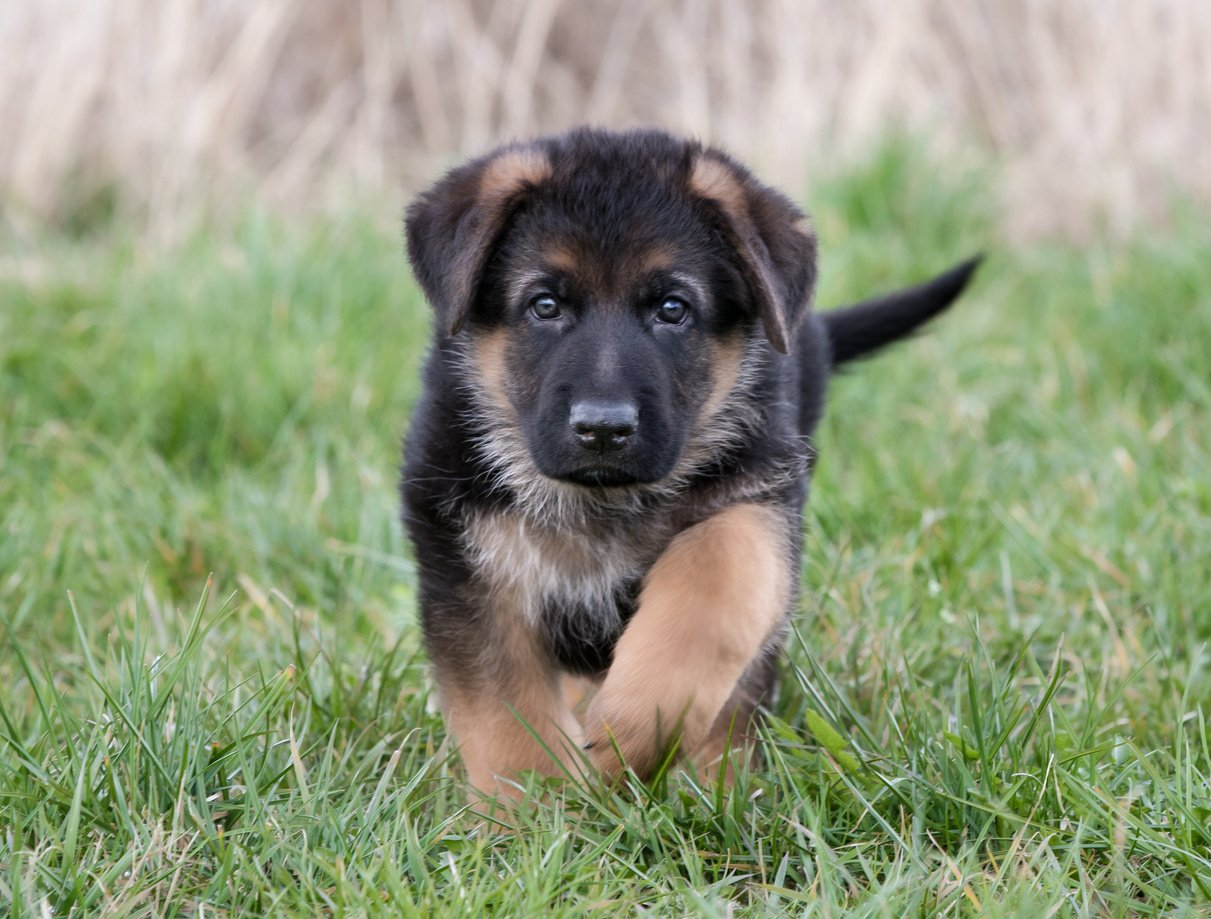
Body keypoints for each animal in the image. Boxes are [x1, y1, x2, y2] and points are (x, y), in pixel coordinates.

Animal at [402, 129, 978, 799]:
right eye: (544, 305)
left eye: (672, 309)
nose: (604, 428)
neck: (601, 502)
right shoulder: (468, 563)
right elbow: (505, 715)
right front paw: (535, 811)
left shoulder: (759, 497)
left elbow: (716, 584)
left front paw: (630, 731)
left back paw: (718, 785)